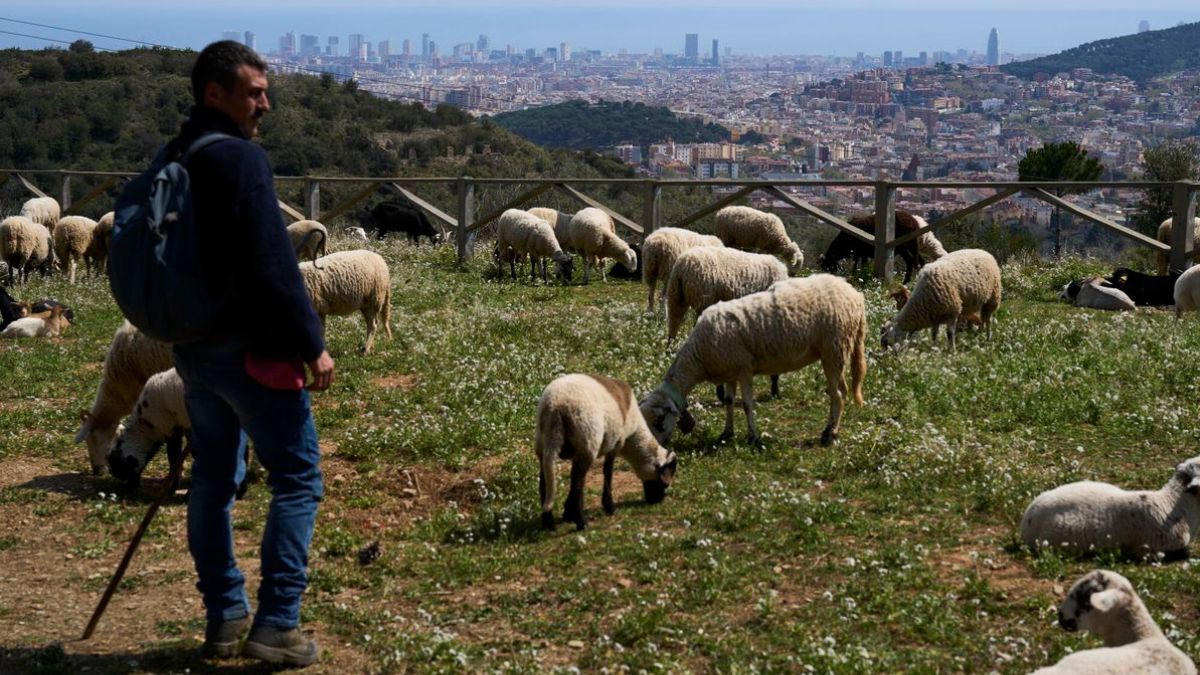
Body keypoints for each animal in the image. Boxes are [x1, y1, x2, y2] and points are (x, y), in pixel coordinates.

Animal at [535, 373, 678, 531]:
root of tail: (556, 406)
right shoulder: (616, 443)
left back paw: (548, 522)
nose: (658, 500)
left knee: (545, 481)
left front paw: (567, 513)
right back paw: (581, 522)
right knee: (579, 484)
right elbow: (608, 472)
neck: (633, 436)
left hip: (544, 443)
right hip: (587, 442)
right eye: (664, 483)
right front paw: (609, 506)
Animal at [639, 274, 867, 447]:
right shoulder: (729, 371)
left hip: (834, 347)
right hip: (837, 350)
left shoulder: (744, 368)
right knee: (842, 391)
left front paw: (753, 438)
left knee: (837, 394)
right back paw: (833, 431)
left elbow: (747, 405)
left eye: (659, 423)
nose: (654, 448)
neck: (699, 356)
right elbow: (729, 402)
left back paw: (828, 434)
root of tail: (855, 296)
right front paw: (726, 433)